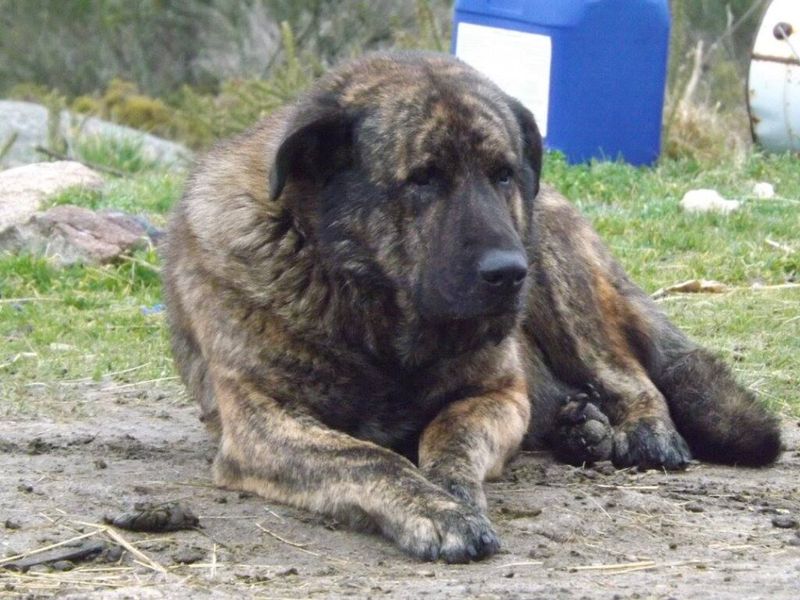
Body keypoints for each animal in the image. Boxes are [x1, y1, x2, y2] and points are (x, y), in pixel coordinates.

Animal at [162, 51, 780, 564]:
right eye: (423, 178)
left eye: (503, 173)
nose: (508, 272)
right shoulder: (261, 424)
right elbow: (371, 458)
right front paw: (433, 508)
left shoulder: (495, 395)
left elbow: (449, 438)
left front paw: (450, 493)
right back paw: (577, 427)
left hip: (561, 280)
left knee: (628, 374)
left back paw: (641, 429)